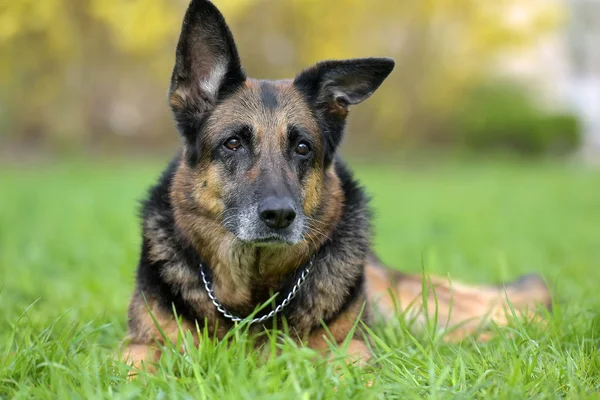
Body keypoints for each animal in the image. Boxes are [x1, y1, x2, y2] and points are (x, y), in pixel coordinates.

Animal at [123, 0, 552, 372]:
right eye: (232, 143)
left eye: (302, 147)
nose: (279, 216)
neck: (252, 297)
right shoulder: (139, 344)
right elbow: (138, 367)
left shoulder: (353, 344)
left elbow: (355, 367)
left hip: (408, 306)